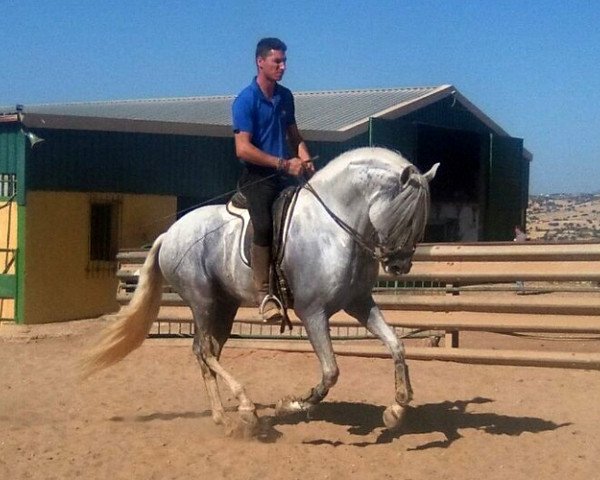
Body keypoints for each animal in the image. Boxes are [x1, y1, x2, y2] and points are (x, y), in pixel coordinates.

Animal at [83, 147, 436, 436]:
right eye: (405, 216)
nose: (400, 266)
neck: (333, 228)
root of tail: (170, 233)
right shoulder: (313, 312)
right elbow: (331, 371)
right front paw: (291, 405)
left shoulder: (359, 303)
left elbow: (396, 345)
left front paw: (397, 408)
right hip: (202, 301)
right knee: (204, 351)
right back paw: (245, 409)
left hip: (225, 306)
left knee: (206, 352)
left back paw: (223, 418)